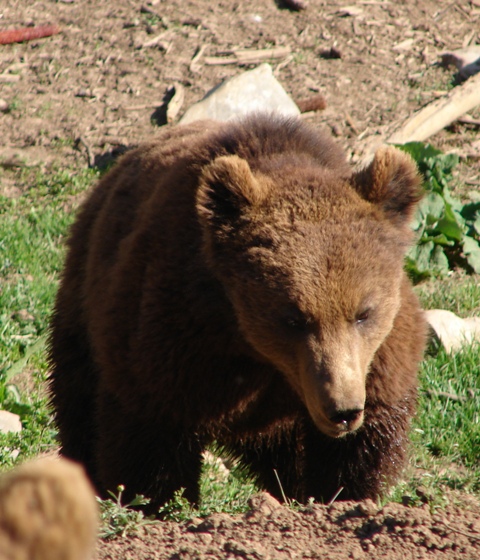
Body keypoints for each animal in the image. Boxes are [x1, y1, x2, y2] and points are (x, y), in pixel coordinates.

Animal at [48, 112, 428, 512]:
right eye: (293, 318)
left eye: (363, 313)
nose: (341, 410)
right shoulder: (177, 330)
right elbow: (150, 435)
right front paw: (156, 503)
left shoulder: (378, 360)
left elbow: (364, 443)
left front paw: (341, 496)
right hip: (84, 300)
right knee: (77, 398)